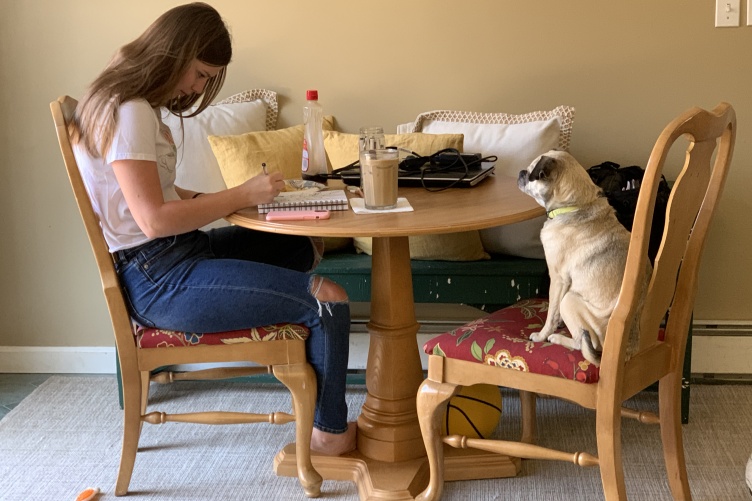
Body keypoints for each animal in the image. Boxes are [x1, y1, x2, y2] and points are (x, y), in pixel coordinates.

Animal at [516, 150, 648, 366]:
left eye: (530, 172)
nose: (520, 172)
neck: (575, 205)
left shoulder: (558, 280)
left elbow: (551, 313)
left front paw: (542, 334)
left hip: (569, 300)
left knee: (582, 343)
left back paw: (556, 338)